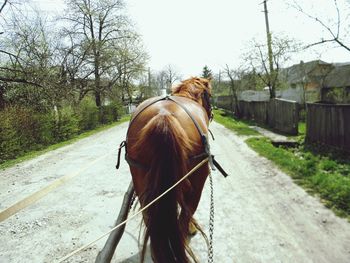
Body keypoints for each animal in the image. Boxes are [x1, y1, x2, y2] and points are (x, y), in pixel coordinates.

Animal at [126, 77, 213, 263]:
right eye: (209, 95)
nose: (211, 113)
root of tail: (163, 116)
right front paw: (192, 227)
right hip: (198, 178)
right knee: (186, 213)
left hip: (141, 180)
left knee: (151, 219)